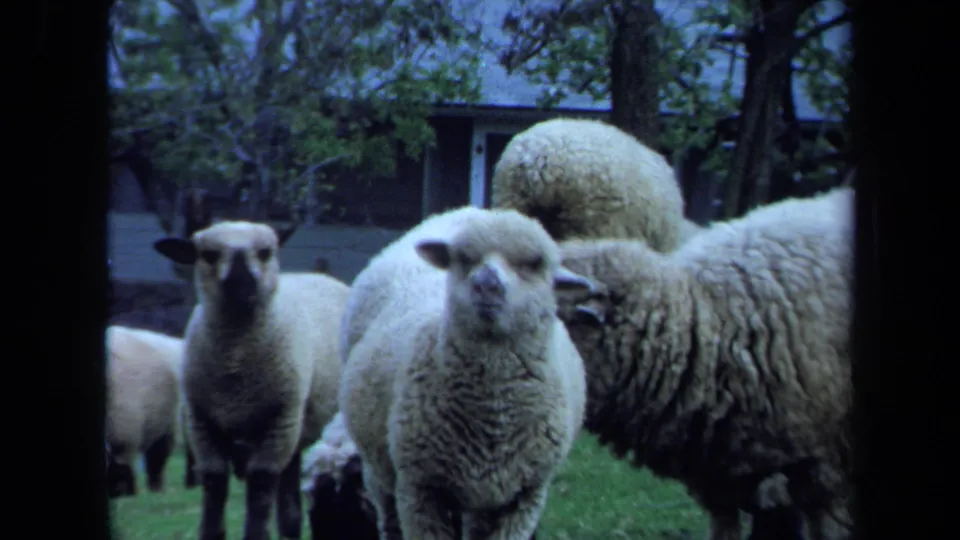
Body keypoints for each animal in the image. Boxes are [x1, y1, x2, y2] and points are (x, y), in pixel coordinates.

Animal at [153, 220, 352, 540]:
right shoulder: (201, 422)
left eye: (266, 251)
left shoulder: (279, 421)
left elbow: (260, 487)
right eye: (208, 255)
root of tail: (322, 276)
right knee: (289, 495)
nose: (243, 288)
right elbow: (214, 483)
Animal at [339, 207, 594, 540]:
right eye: (463, 258)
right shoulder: (421, 489)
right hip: (379, 469)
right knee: (389, 516)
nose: (486, 284)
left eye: (534, 263)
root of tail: (459, 212)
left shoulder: (523, 496)